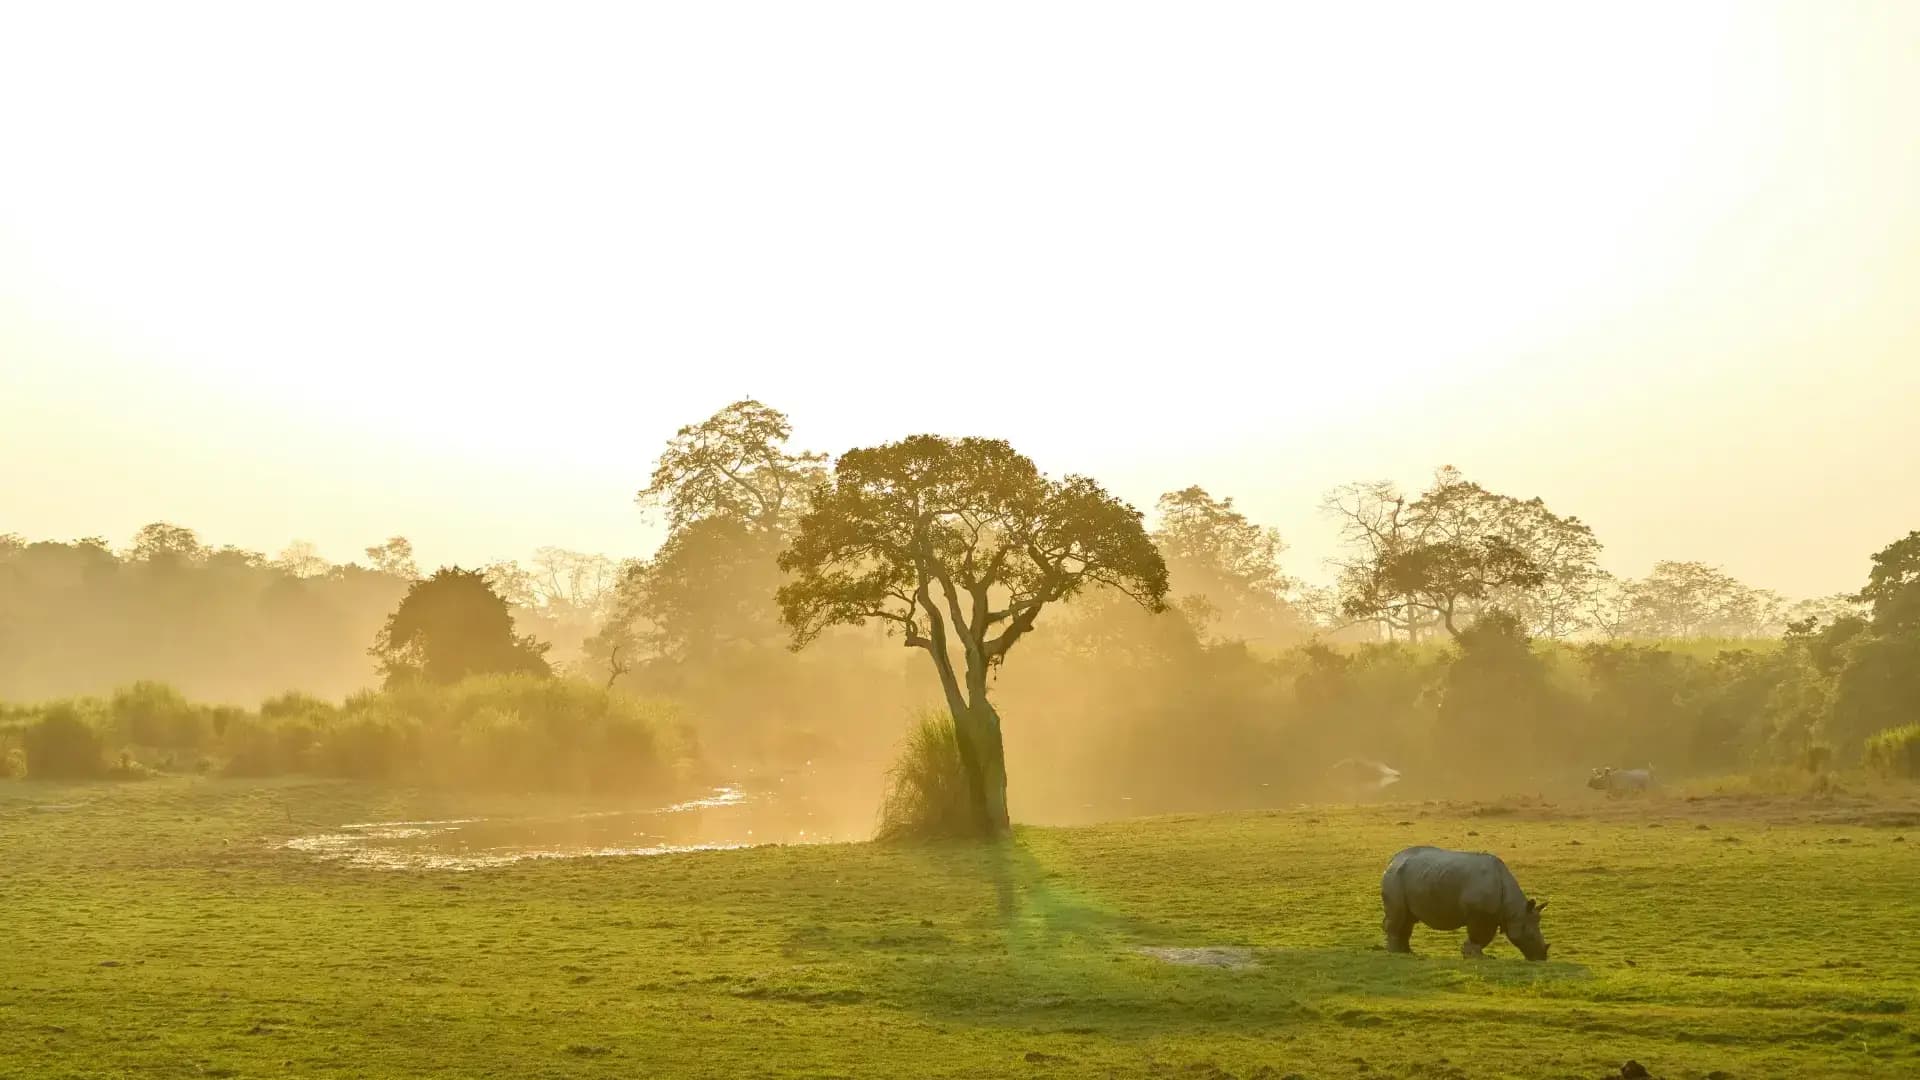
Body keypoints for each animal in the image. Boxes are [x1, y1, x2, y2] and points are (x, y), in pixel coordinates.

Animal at [1380, 845, 1550, 961]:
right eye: (1530, 936)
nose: (1542, 957)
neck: (1515, 909)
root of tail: (1393, 860)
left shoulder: (1490, 916)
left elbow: (1483, 938)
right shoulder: (1482, 916)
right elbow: (1481, 936)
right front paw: (1477, 957)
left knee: (1408, 920)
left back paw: (1407, 953)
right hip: (1395, 877)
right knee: (1399, 916)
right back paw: (1395, 953)